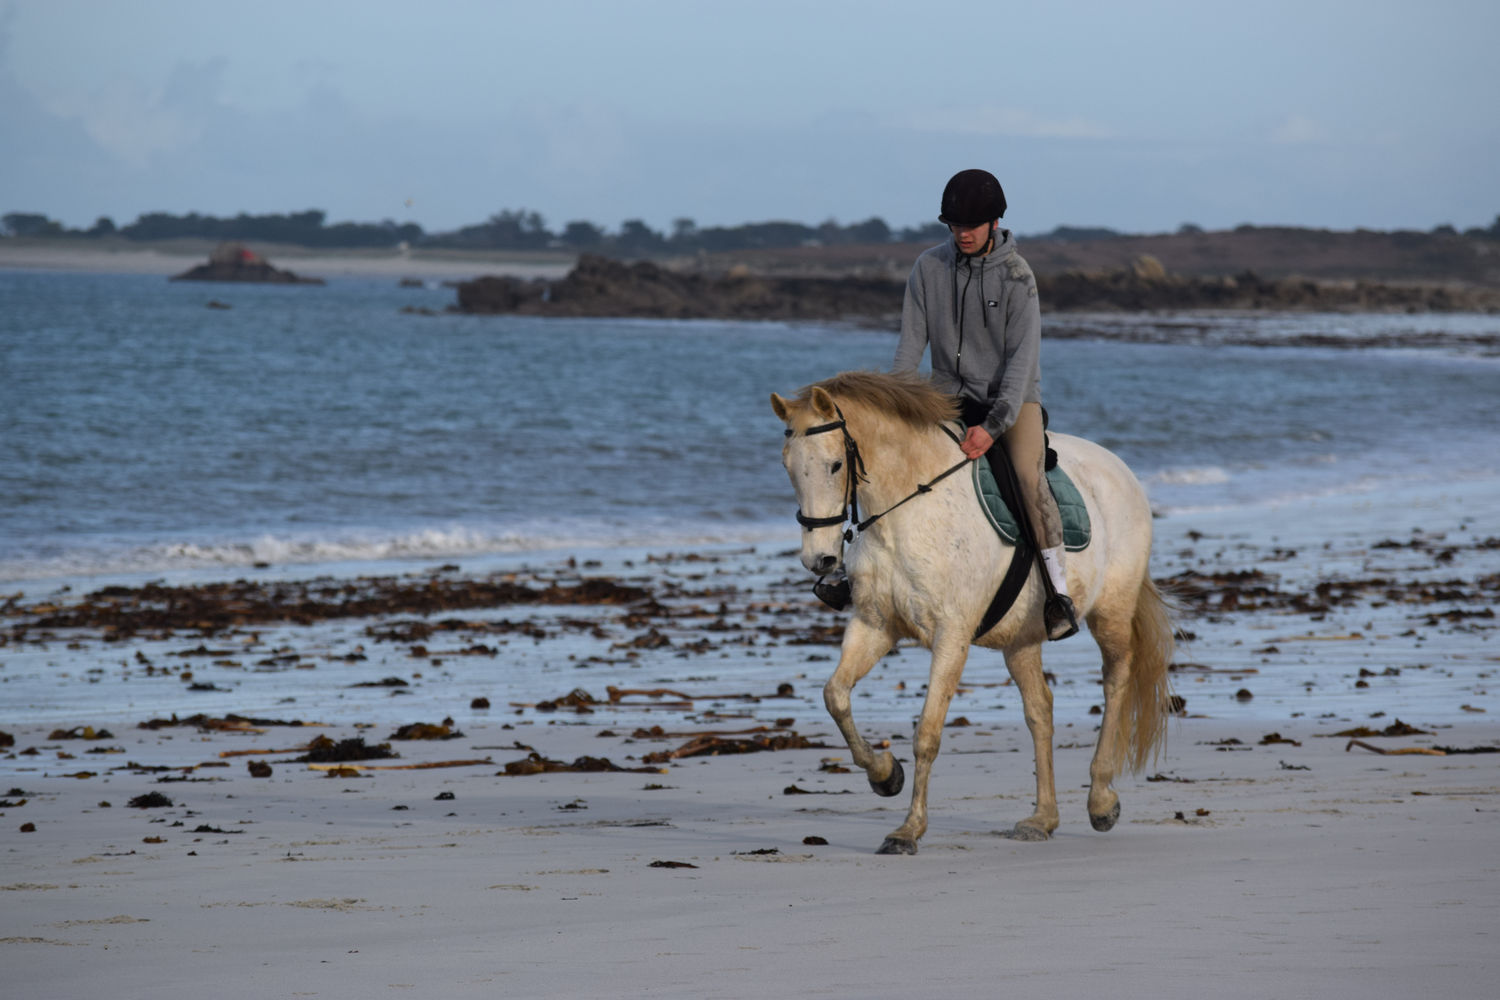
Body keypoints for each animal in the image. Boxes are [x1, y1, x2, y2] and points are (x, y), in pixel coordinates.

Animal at [774, 371, 1170, 857]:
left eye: (834, 465)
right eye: (788, 466)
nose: (820, 560)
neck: (905, 510)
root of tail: (1120, 469)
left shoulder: (951, 637)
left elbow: (927, 732)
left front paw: (908, 830)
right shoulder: (875, 626)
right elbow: (835, 696)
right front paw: (885, 775)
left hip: (1111, 611)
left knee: (1115, 683)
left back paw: (1101, 800)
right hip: (1020, 639)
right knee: (1040, 711)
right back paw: (1042, 819)